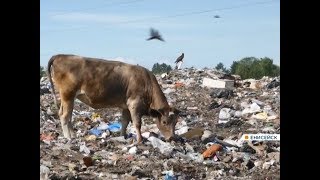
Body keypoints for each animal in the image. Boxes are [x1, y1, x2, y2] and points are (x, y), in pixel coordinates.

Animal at [47, 54, 180, 143]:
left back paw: (73, 134)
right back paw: (68, 137)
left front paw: (123, 136)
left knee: (67, 115)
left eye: (176, 122)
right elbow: (137, 123)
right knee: (65, 115)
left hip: (68, 97)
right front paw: (140, 140)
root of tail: (61, 55)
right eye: (164, 122)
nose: (172, 138)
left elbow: (124, 122)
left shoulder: (126, 106)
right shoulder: (134, 104)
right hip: (67, 94)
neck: (147, 83)